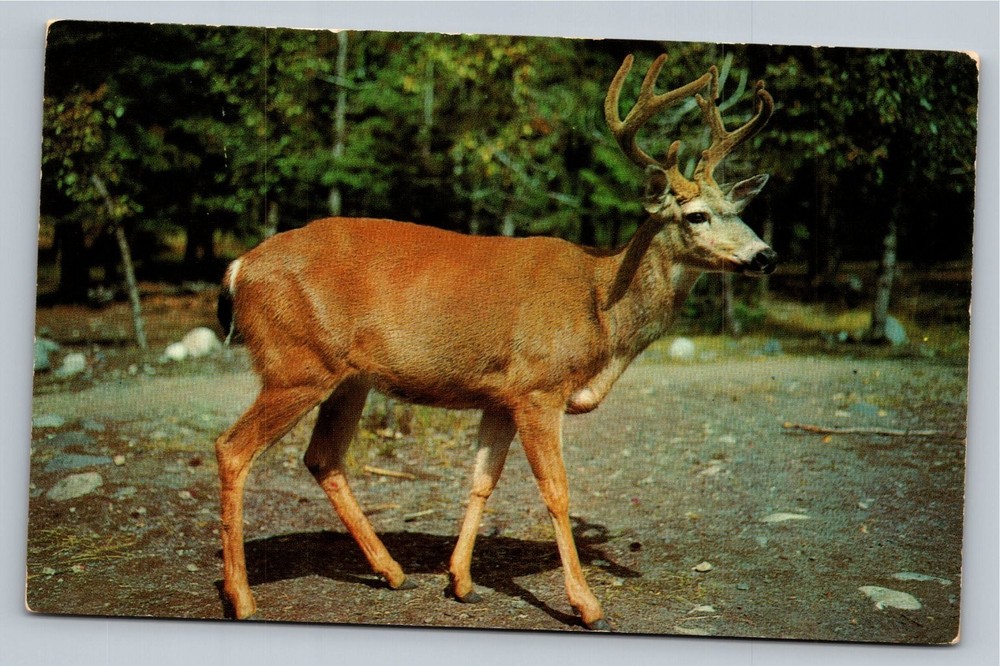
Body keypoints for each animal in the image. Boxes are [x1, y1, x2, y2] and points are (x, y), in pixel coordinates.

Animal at [214, 53, 776, 631]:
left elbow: (482, 478)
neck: (600, 305)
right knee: (232, 448)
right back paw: (242, 597)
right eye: (696, 214)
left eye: (738, 210)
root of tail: (239, 268)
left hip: (349, 378)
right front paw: (586, 604)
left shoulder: (500, 396)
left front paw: (461, 582)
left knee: (323, 457)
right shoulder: (538, 386)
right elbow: (556, 490)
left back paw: (392, 572)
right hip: (296, 363)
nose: (764, 255)